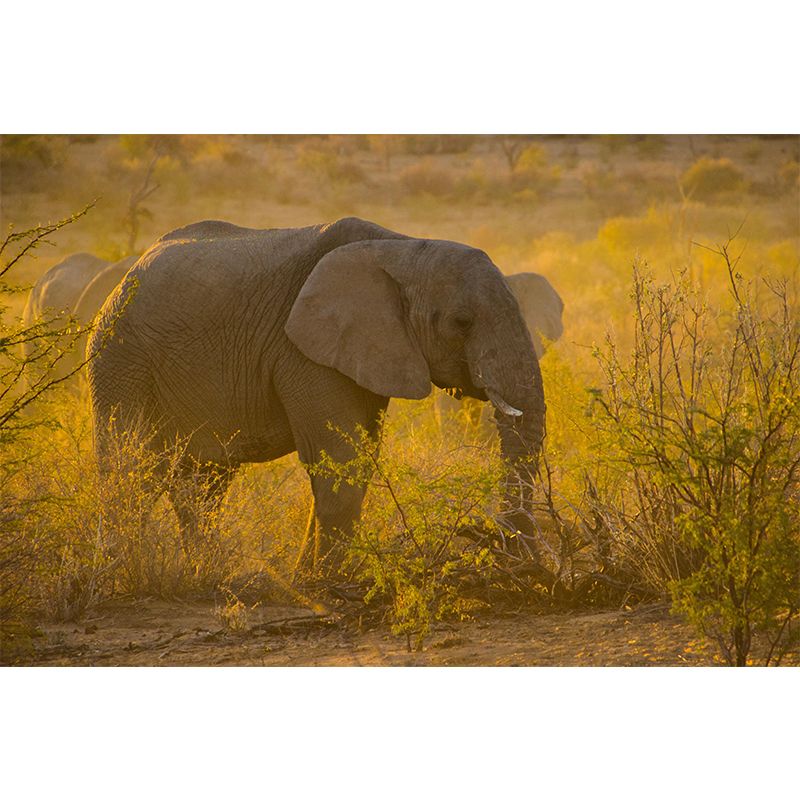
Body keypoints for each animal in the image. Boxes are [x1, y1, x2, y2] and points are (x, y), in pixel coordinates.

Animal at [87, 217, 546, 575]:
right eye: (462, 322)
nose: (511, 557)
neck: (403, 247)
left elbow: (359, 457)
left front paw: (313, 577)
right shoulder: (302, 350)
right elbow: (341, 457)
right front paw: (327, 583)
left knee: (202, 484)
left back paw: (211, 575)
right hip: (119, 360)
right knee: (131, 470)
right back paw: (125, 576)